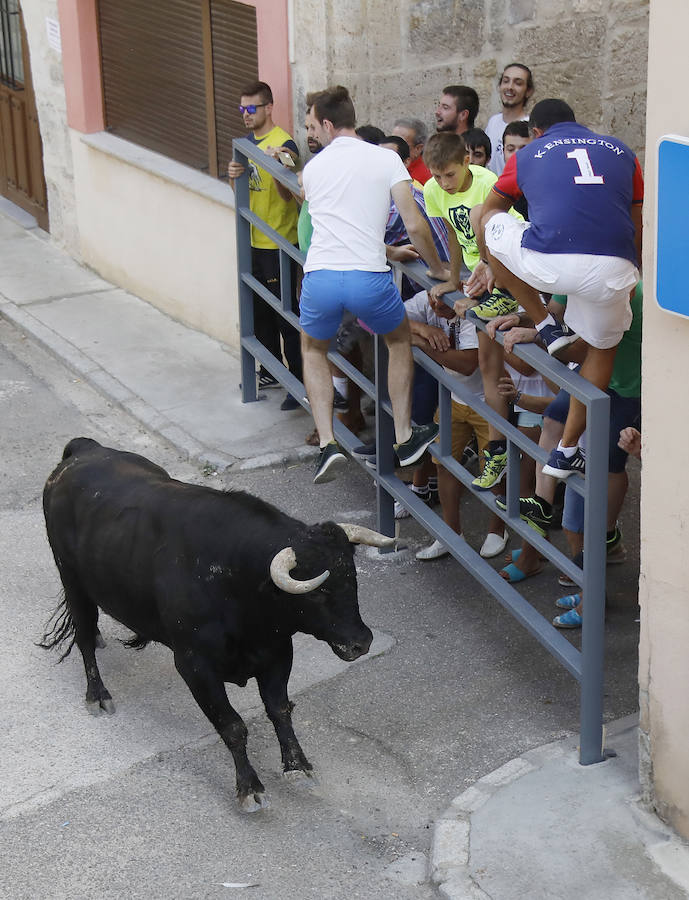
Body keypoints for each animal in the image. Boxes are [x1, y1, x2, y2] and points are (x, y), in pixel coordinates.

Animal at [40, 440, 390, 812]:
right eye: (317, 592)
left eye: (352, 578)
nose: (362, 641)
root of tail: (85, 449)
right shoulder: (196, 666)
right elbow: (233, 725)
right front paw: (250, 788)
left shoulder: (278, 651)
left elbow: (280, 709)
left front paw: (298, 766)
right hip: (71, 579)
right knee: (83, 636)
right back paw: (98, 694)